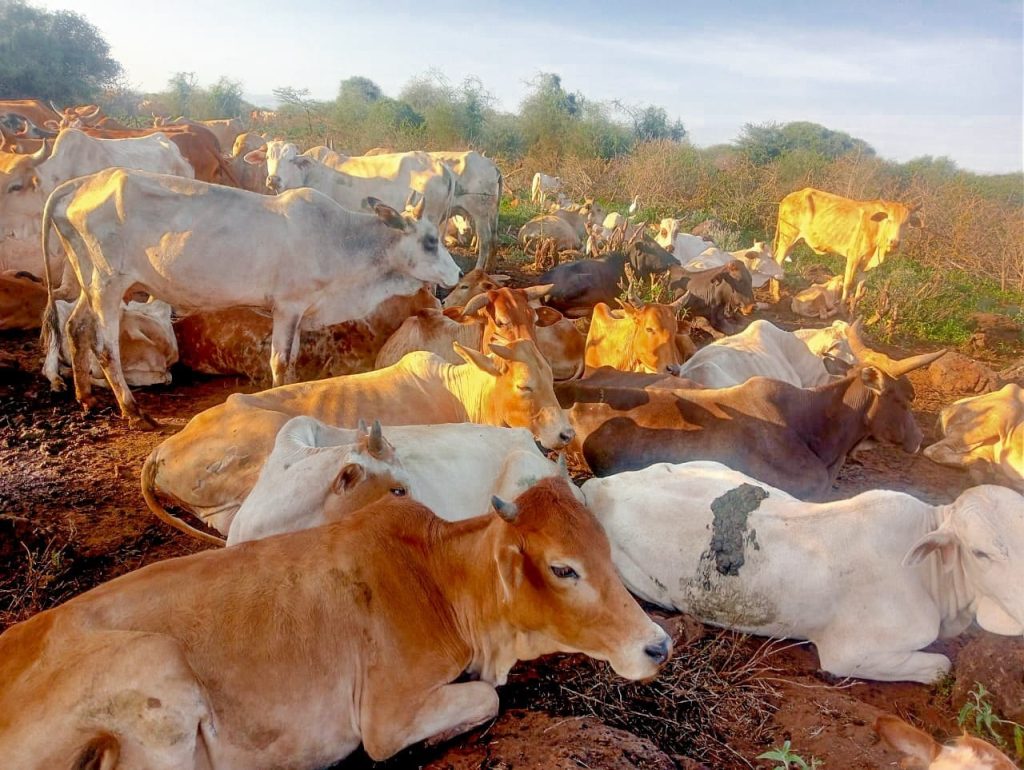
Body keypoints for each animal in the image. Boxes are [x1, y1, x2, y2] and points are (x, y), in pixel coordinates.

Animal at [0, 478, 671, 768]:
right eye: (563, 568)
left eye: (607, 550)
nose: (658, 645)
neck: (438, 579)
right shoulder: (384, 716)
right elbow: (485, 698)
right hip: (157, 674)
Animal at [772, 187, 923, 309]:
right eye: (889, 220)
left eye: (906, 223)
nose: (894, 242)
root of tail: (788, 197)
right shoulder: (854, 256)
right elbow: (848, 283)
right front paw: (842, 306)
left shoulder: (866, 264)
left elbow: (860, 286)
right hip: (788, 237)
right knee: (778, 261)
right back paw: (775, 295)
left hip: (794, 241)